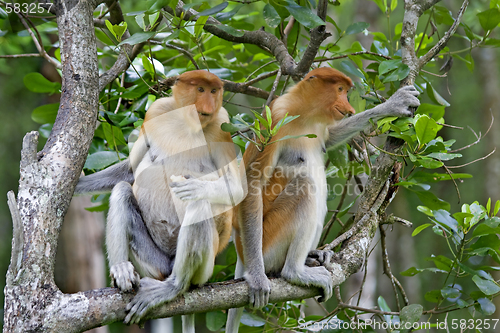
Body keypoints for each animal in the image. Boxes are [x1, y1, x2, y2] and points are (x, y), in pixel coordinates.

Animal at [75, 70, 245, 330]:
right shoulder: (156, 111)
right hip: (153, 262)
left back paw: (173, 286)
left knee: (198, 204)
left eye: (214, 91)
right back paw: (122, 269)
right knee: (122, 191)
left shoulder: (220, 124)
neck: (187, 123)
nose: (208, 105)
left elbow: (235, 188)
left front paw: (192, 184)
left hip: (204, 269)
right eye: (200, 90)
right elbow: (130, 171)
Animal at [226, 66, 418, 330]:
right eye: (340, 89)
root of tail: (241, 254)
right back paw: (294, 271)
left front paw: (395, 104)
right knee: (306, 187)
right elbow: (252, 186)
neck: (304, 114)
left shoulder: (320, 126)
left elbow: (331, 137)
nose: (348, 107)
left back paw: (313, 255)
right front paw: (257, 280)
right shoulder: (274, 119)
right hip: (268, 242)